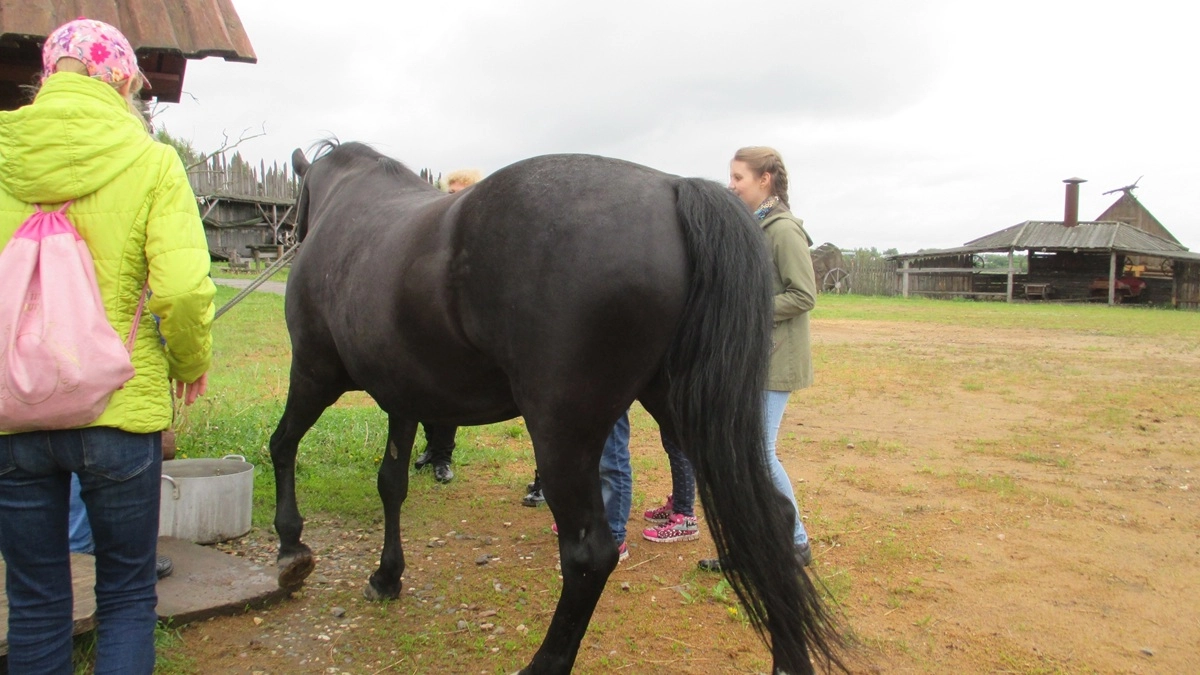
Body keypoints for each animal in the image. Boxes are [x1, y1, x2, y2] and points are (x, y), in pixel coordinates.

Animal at [269, 140, 845, 674]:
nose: (289, 235)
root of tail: (673, 187)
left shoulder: (313, 374)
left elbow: (282, 444)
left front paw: (291, 546)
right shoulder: (404, 397)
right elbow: (391, 483)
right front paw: (386, 576)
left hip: (561, 434)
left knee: (589, 556)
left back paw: (544, 662)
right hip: (688, 414)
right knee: (774, 518)